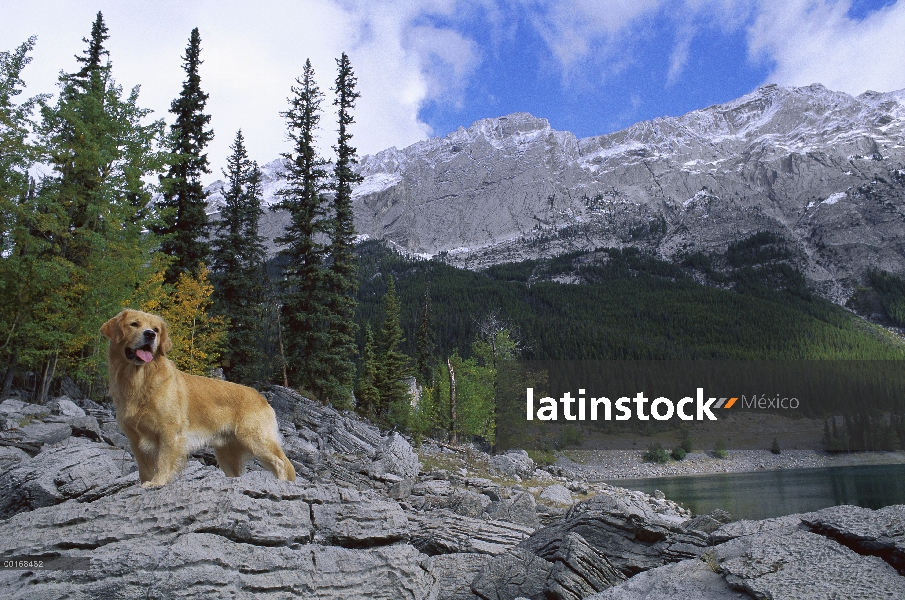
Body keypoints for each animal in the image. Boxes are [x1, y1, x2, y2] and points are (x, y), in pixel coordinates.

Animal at [100, 310, 294, 488]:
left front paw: (157, 483)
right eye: (134, 324)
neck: (140, 380)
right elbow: (144, 469)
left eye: (156, 329)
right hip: (226, 453)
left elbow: (163, 462)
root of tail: (261, 397)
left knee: (281, 463)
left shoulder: (169, 431)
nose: (150, 334)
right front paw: (147, 482)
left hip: (255, 439)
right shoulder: (135, 439)